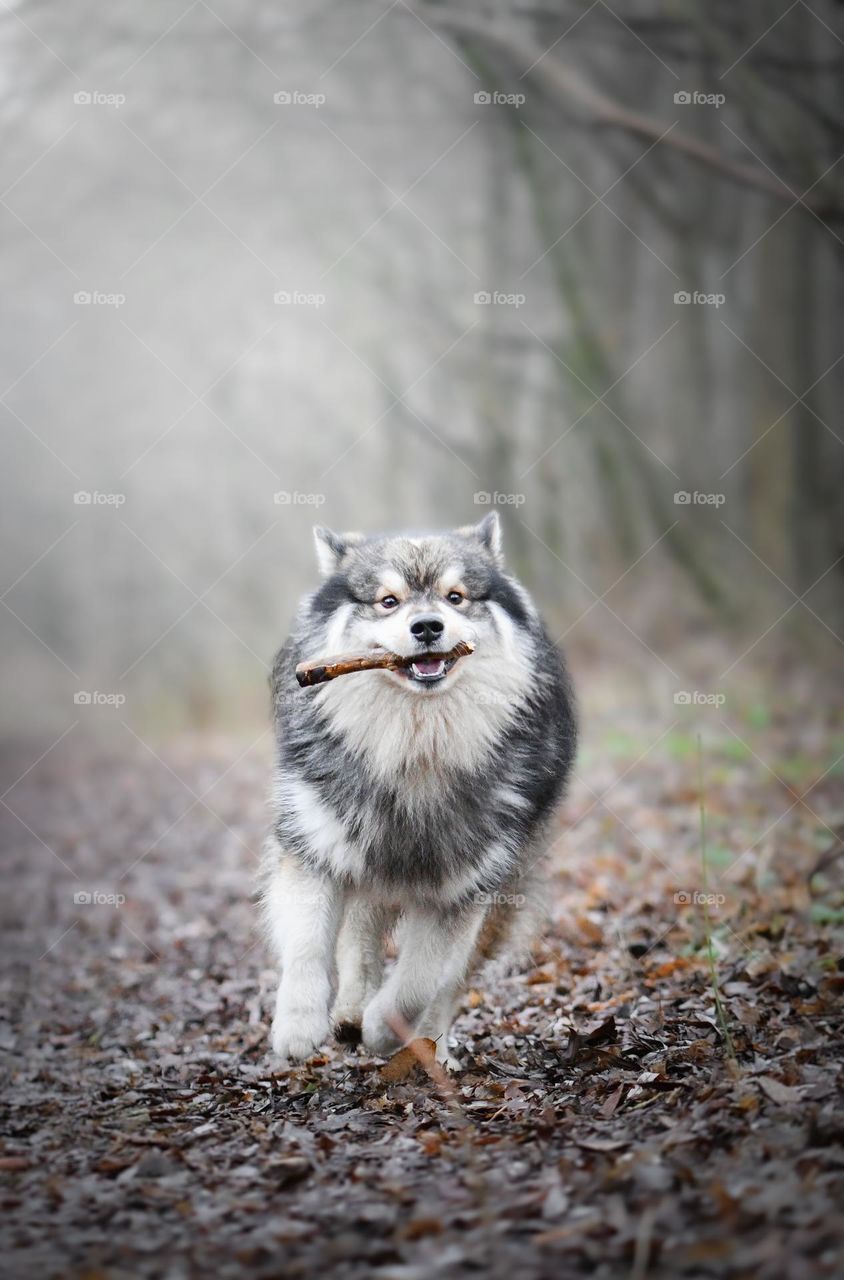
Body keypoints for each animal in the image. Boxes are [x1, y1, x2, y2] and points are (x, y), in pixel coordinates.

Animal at [263, 506, 578, 1059]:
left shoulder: (462, 889)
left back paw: (427, 1046)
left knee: (447, 983)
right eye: (388, 601)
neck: (414, 745)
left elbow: (420, 982)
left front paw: (385, 1029)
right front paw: (298, 1028)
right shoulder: (312, 846)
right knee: (360, 938)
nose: (428, 625)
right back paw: (349, 1011)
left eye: (456, 597)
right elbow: (306, 947)